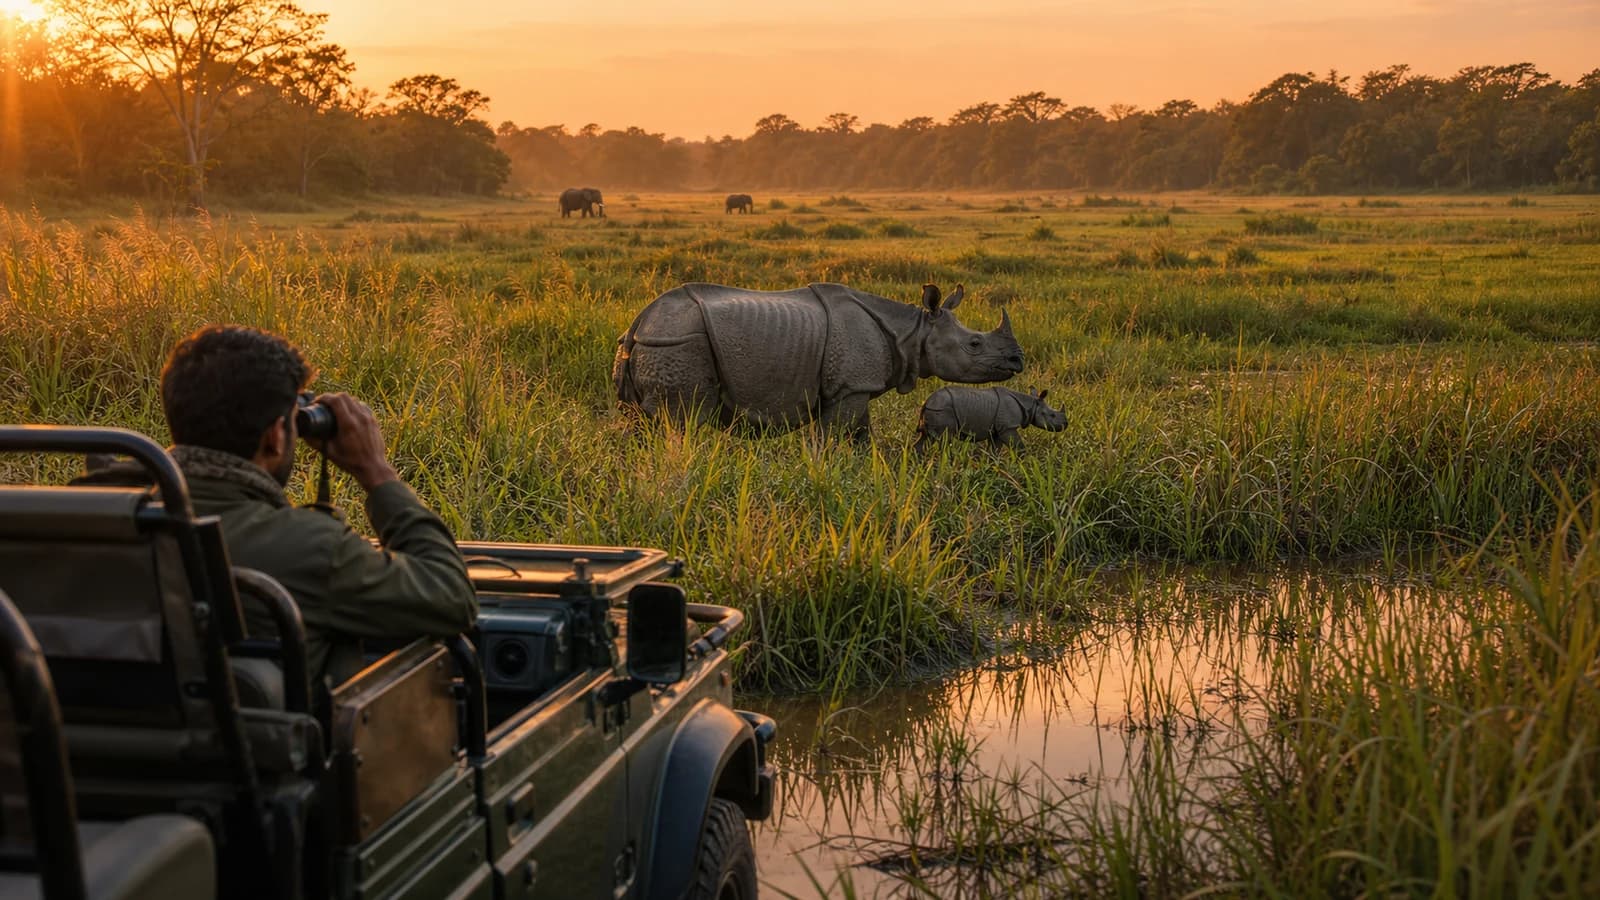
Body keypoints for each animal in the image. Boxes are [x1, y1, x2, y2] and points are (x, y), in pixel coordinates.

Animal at [613, 282, 1025, 438]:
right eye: (974, 344)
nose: (1018, 361)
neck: (914, 330)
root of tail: (640, 320)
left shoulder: (855, 387)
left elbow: (861, 434)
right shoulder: (850, 385)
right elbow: (834, 436)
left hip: (658, 341)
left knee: (640, 423)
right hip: (678, 341)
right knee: (684, 421)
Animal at [915, 386, 1066, 450]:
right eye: (1052, 415)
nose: (1066, 424)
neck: (1031, 405)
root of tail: (926, 402)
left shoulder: (998, 430)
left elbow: (994, 450)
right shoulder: (1008, 428)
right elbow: (1018, 446)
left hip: (935, 410)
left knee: (926, 437)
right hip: (942, 410)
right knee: (946, 440)